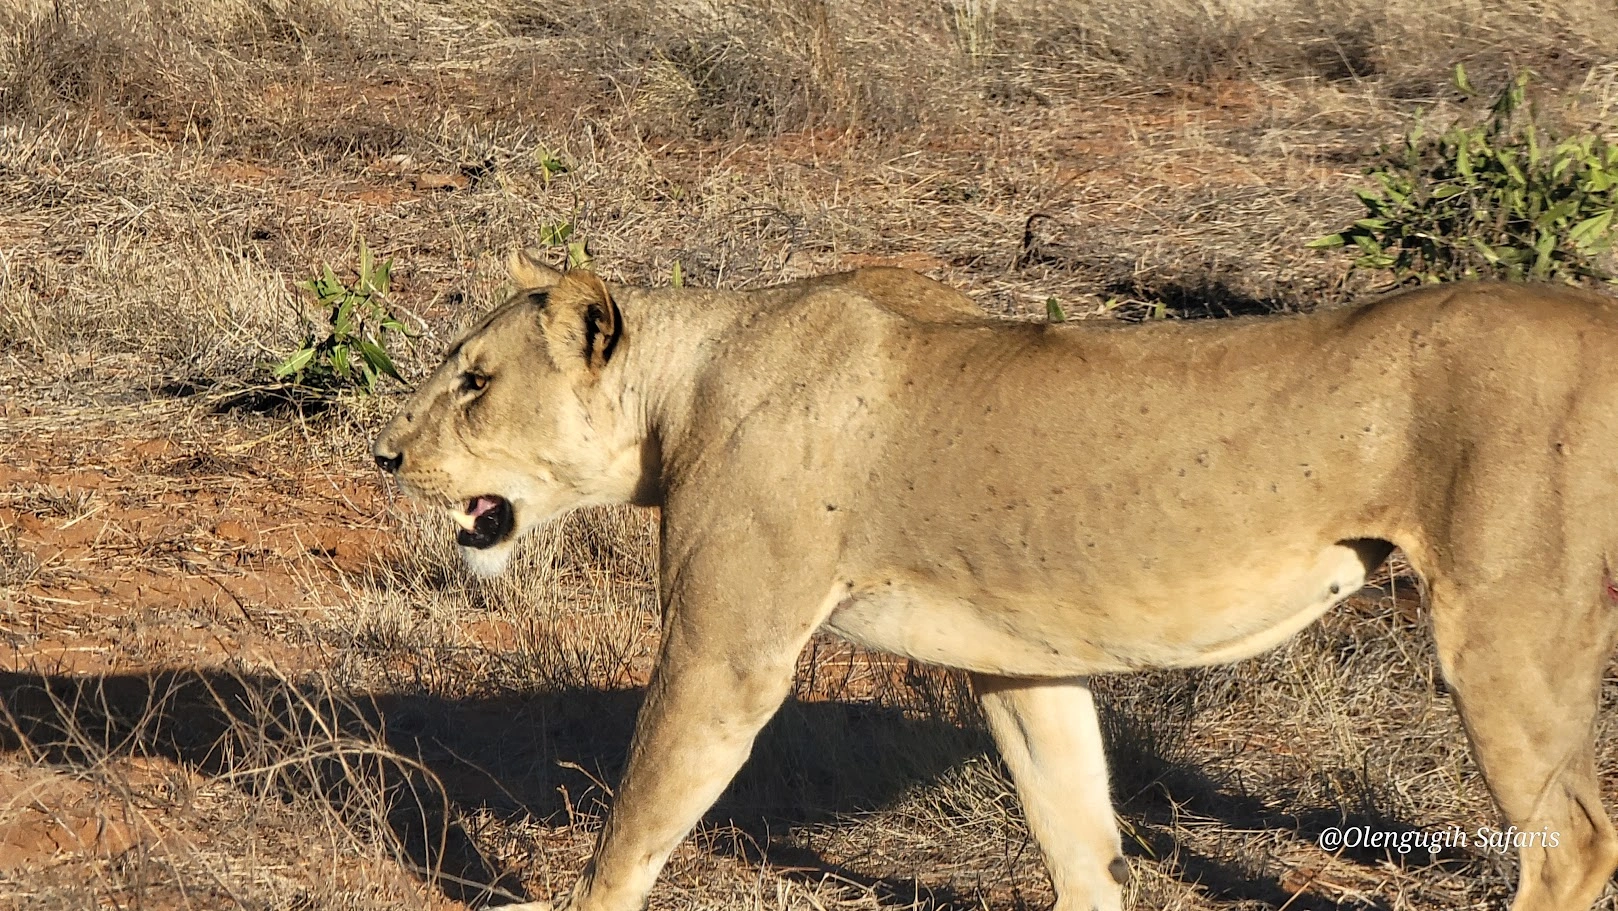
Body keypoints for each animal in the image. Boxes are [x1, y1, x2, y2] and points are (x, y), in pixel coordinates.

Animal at [374, 251, 1618, 911]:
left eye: (474, 381)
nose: (385, 455)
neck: (682, 389)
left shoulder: (726, 649)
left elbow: (634, 822)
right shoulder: (1020, 664)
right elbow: (1078, 834)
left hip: (1502, 625)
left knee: (1574, 840)